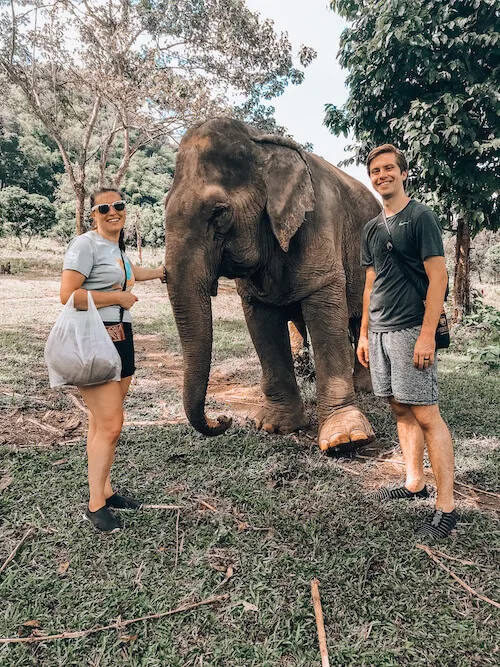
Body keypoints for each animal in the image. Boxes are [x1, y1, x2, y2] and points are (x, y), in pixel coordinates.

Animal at [164, 118, 378, 454]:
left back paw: (366, 390)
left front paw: (345, 440)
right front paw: (273, 426)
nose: (223, 419)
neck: (262, 144)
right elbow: (262, 324)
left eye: (219, 212)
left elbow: (325, 311)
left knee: (360, 321)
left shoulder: (320, 222)